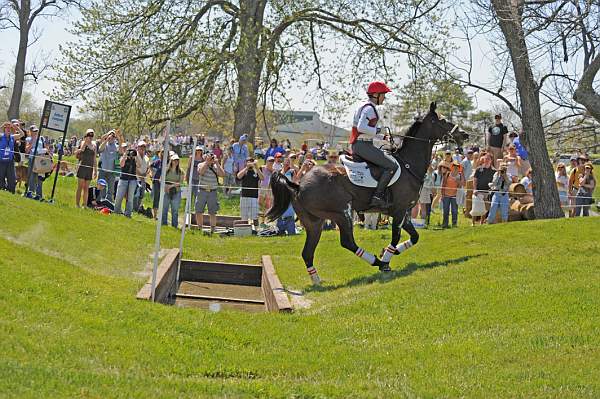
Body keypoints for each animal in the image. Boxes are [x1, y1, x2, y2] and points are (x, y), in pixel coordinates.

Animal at [268, 102, 468, 284]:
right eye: (443, 121)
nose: (465, 134)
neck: (408, 164)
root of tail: (298, 184)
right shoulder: (399, 210)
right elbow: (395, 236)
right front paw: (386, 260)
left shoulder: (404, 212)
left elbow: (414, 237)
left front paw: (389, 252)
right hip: (342, 214)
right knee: (347, 242)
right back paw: (377, 262)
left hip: (314, 223)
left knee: (307, 253)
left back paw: (317, 281)